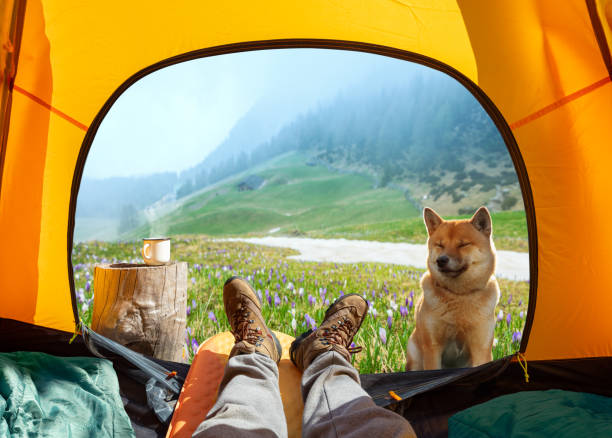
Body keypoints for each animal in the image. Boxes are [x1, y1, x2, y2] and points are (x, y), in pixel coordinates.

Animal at [404, 206, 500, 370]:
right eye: (440, 245)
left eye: (463, 244)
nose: (441, 260)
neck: (459, 294)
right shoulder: (432, 348)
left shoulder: (481, 348)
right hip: (415, 356)